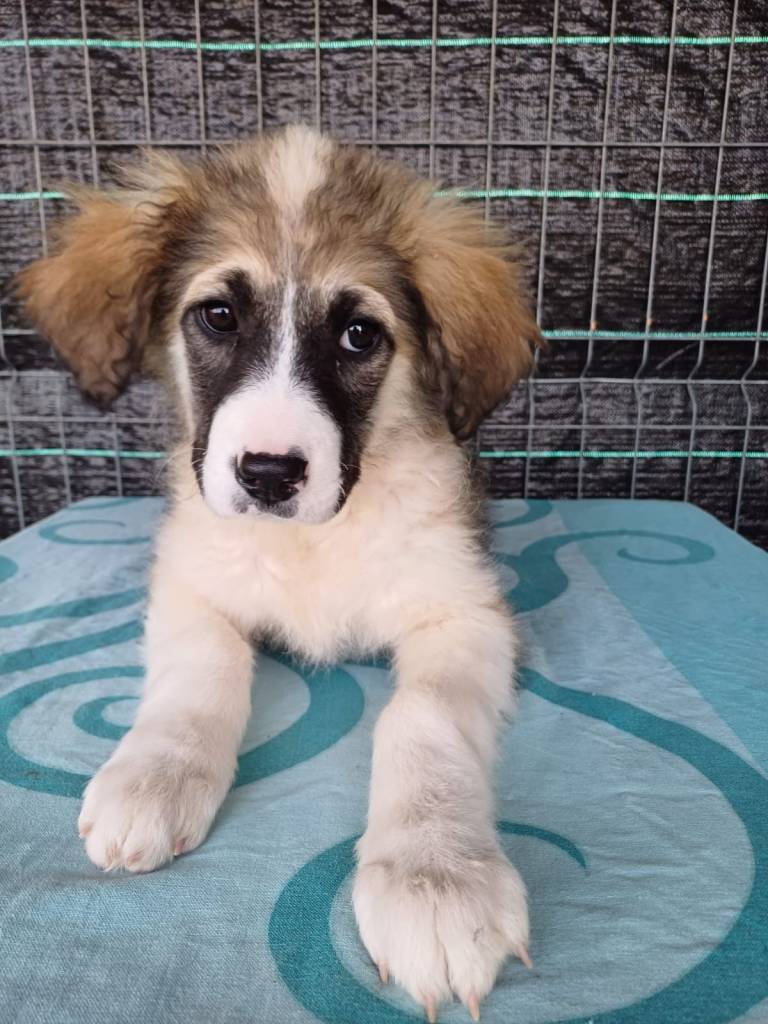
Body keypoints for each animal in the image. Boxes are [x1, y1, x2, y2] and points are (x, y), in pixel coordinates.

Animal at [18, 125, 540, 1020]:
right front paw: (155, 778)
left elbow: (421, 716)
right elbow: (206, 672)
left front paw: (434, 876)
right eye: (218, 316)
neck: (312, 545)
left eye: (359, 334)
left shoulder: (466, 614)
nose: (266, 474)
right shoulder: (191, 583)